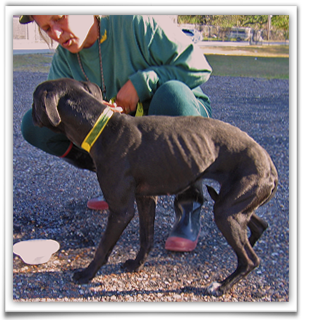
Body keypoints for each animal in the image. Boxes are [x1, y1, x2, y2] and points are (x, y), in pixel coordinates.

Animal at [31, 78, 278, 296]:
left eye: (34, 99)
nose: (30, 113)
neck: (102, 128)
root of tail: (269, 164)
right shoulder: (145, 199)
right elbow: (146, 237)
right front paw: (136, 265)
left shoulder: (121, 211)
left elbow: (102, 248)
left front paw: (86, 274)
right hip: (233, 205)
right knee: (258, 226)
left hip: (226, 211)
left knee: (250, 260)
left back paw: (222, 286)